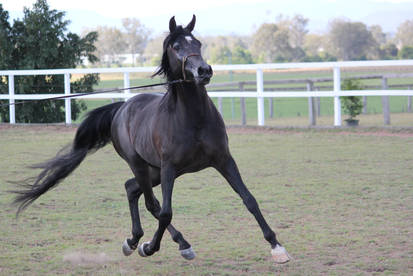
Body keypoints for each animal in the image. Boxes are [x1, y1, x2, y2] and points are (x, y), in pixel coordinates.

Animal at [12, 15, 290, 266]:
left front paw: (277, 247)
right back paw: (158, 244)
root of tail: (122, 108)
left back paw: (138, 240)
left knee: (131, 189)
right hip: (142, 165)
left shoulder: (223, 160)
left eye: (198, 43)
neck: (194, 119)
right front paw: (150, 248)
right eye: (176, 46)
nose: (204, 71)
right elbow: (165, 212)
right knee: (150, 202)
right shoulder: (169, 167)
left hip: (155, 170)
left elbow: (249, 199)